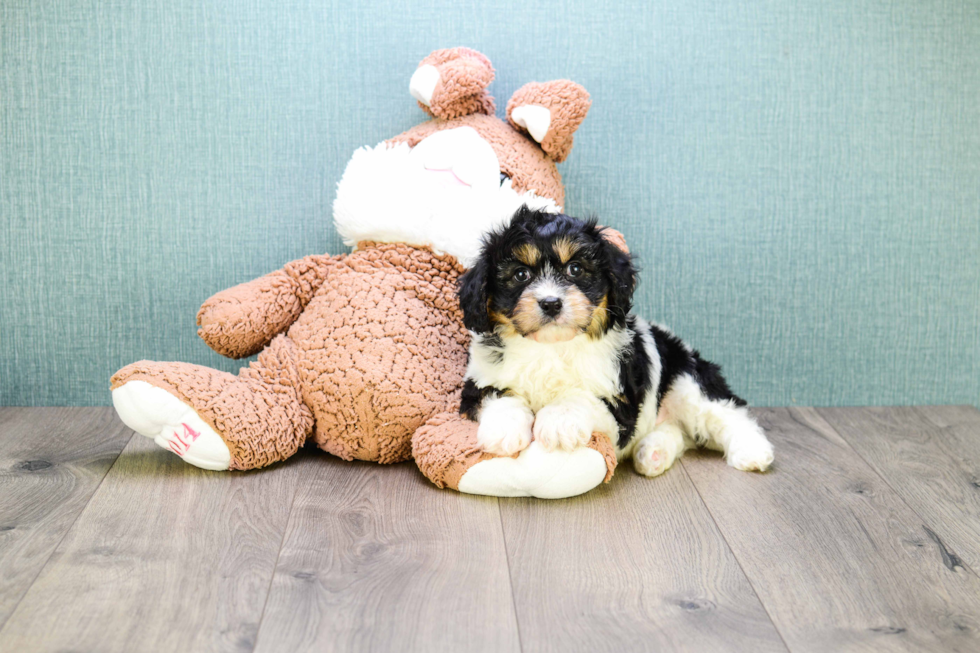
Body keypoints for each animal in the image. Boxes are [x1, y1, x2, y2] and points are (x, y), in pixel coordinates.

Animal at [458, 206, 772, 476]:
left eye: (575, 269)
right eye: (520, 274)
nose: (551, 303)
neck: (552, 346)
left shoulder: (621, 403)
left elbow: (582, 397)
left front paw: (559, 421)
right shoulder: (481, 379)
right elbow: (498, 394)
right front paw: (504, 430)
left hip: (687, 380)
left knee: (723, 411)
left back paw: (753, 451)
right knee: (679, 431)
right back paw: (653, 453)